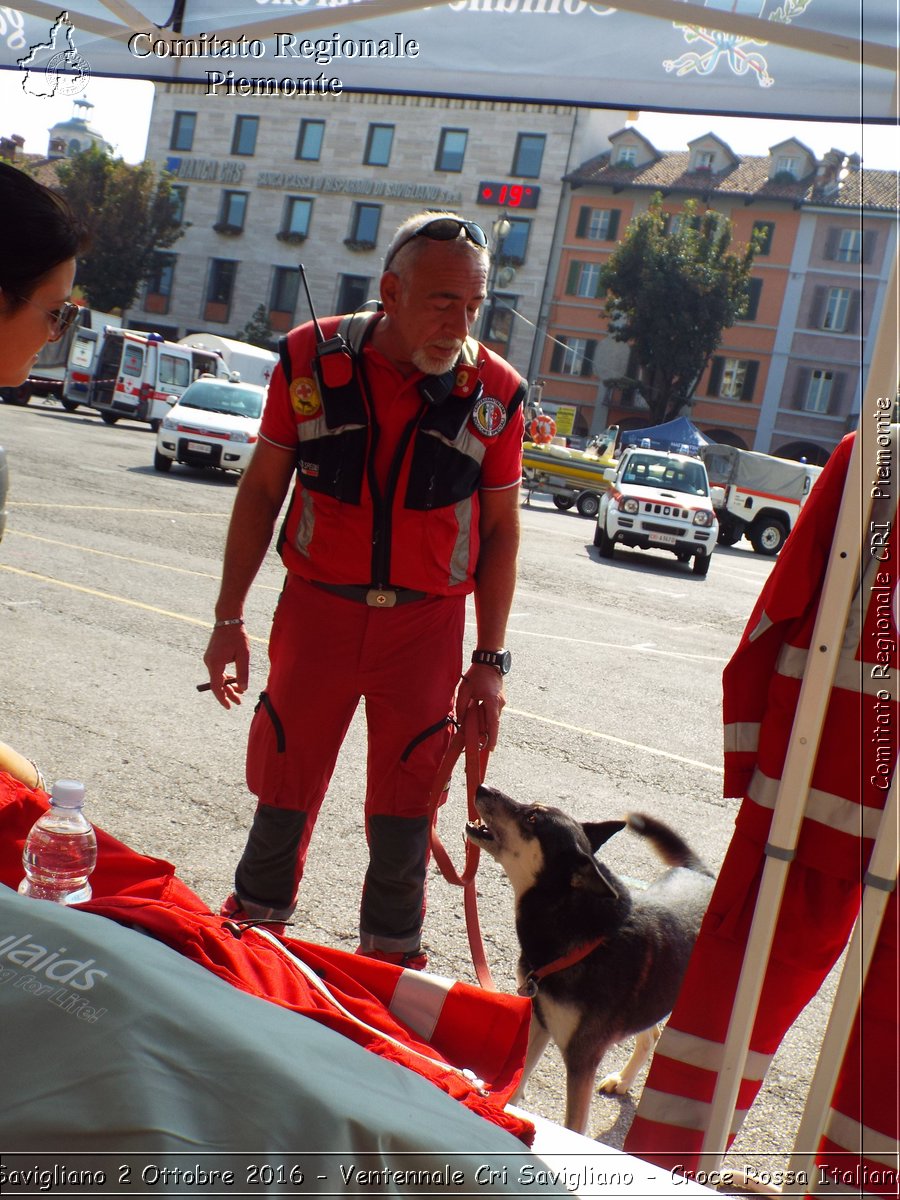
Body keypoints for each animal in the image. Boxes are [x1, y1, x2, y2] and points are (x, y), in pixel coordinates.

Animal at [468, 782, 715, 1137]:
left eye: (532, 817)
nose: (482, 786)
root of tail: (704, 873)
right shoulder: (539, 1020)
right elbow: (514, 1086)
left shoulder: (582, 1058)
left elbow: (573, 1125)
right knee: (651, 1035)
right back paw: (624, 1080)